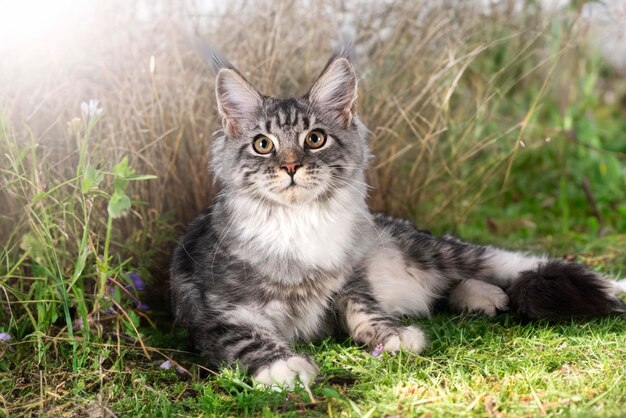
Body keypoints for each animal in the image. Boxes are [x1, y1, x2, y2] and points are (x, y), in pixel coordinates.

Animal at [168, 48, 624, 388]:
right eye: (263, 144)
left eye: (314, 139)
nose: (291, 167)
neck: (300, 222)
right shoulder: (219, 312)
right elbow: (249, 339)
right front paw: (285, 367)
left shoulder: (350, 282)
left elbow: (365, 311)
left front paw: (395, 337)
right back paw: (483, 297)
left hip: (440, 249)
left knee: (516, 262)